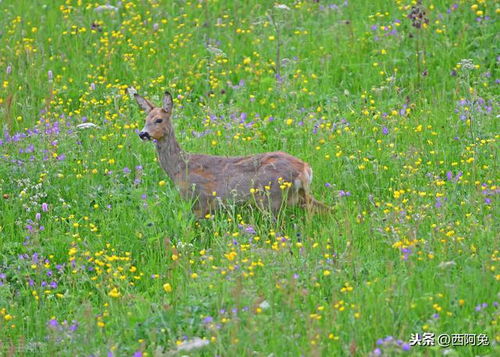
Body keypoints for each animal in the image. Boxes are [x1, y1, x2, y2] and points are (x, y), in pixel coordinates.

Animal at [134, 90, 328, 216]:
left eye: (159, 120)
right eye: (145, 119)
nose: (142, 134)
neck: (180, 167)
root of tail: (305, 169)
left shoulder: (199, 200)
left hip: (271, 197)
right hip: (298, 196)